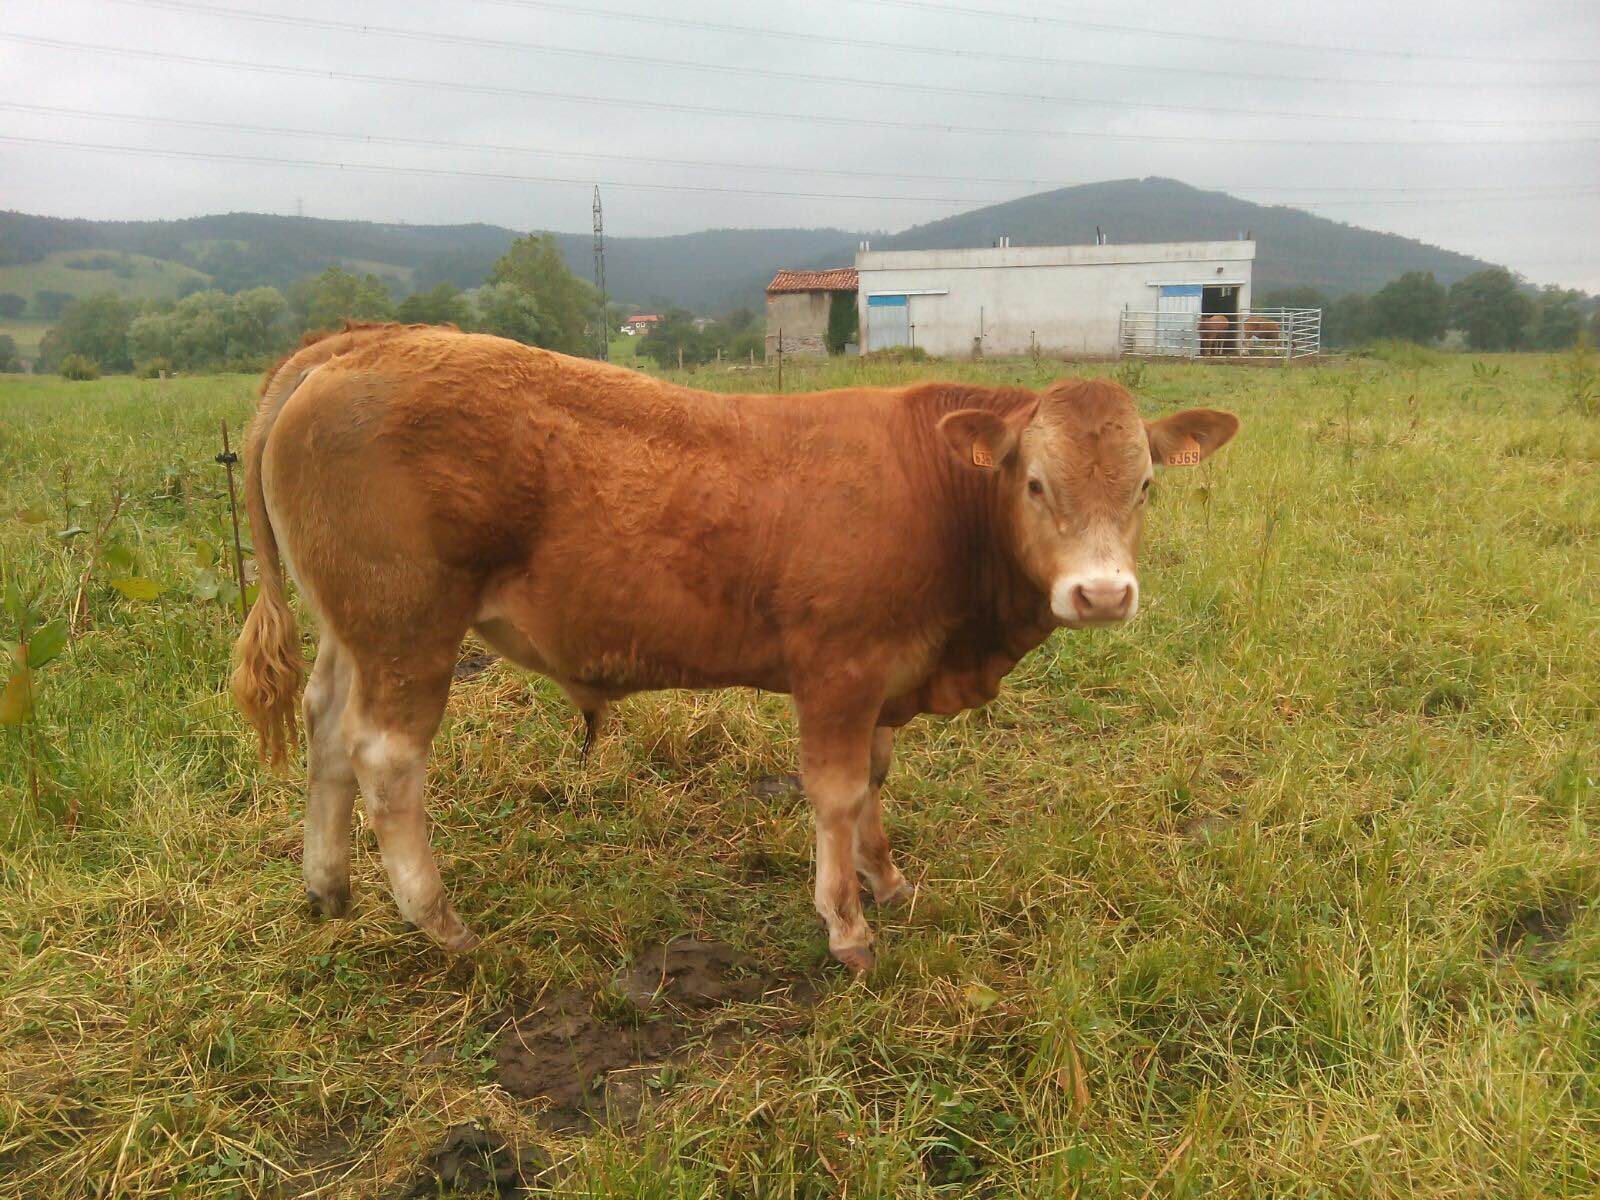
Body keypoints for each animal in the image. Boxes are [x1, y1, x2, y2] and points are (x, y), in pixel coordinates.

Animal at [232, 323, 1239, 971]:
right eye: (1034, 483)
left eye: (1145, 486)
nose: (1101, 594)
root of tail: (360, 342)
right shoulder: (837, 668)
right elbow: (834, 793)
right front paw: (846, 926)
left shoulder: (888, 673)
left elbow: (874, 783)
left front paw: (887, 879)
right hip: (409, 626)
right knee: (386, 759)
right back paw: (439, 923)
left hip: (356, 626)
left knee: (326, 727)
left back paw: (328, 887)